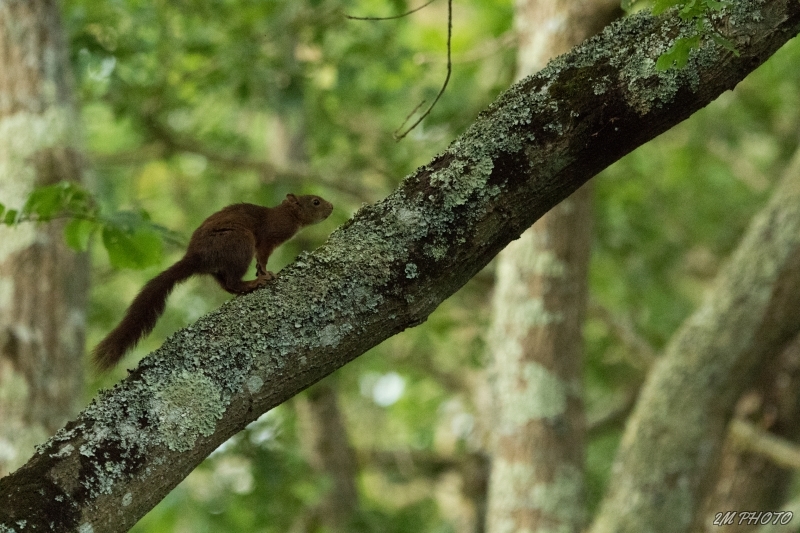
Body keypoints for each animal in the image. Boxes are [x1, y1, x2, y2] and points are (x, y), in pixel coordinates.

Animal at [93, 193, 332, 372]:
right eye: (315, 201)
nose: (332, 206)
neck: (287, 213)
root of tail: (197, 257)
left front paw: (260, 271)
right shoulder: (269, 236)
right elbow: (263, 256)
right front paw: (264, 272)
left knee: (226, 284)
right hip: (240, 242)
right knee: (233, 281)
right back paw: (252, 283)